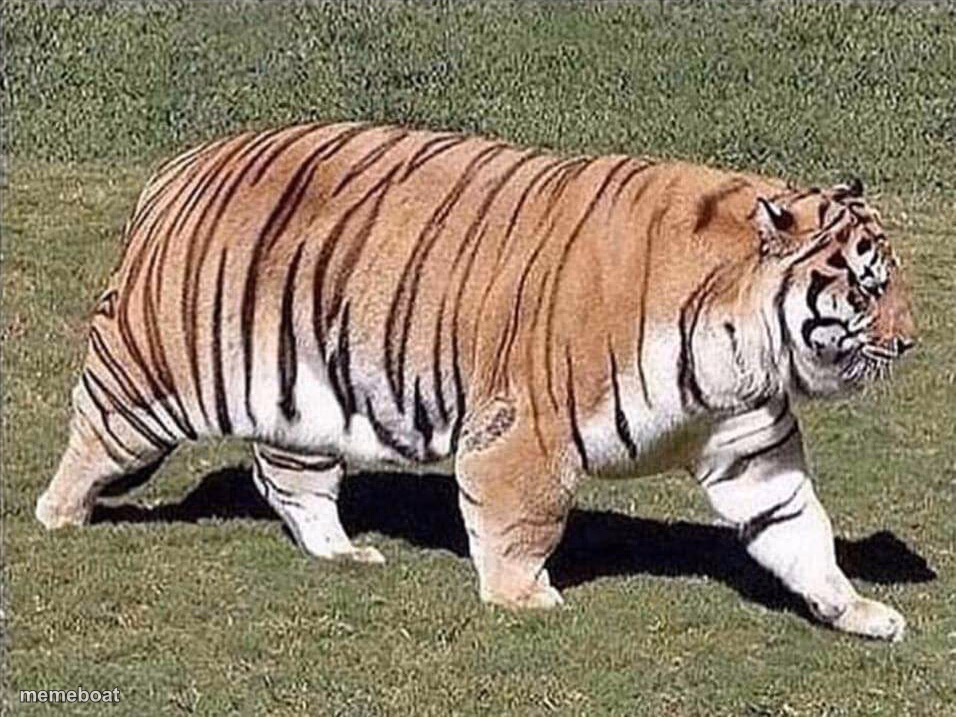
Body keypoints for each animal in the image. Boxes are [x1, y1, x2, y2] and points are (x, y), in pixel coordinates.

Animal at [35, 121, 916, 641]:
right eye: (868, 287)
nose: (910, 340)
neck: (746, 344)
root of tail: (180, 163)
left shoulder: (751, 446)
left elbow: (799, 530)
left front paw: (859, 610)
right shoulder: (527, 429)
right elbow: (524, 517)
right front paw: (522, 596)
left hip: (303, 402)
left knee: (287, 478)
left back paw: (343, 553)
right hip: (152, 371)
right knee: (94, 430)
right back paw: (58, 514)